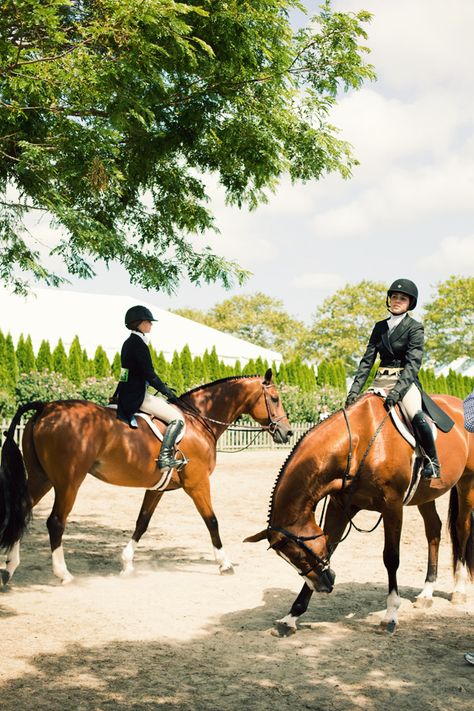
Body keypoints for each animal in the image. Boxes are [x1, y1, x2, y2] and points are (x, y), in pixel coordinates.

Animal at [0, 370, 290, 588]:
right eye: (275, 398)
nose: (286, 432)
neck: (198, 420)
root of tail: (46, 407)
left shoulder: (157, 488)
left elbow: (142, 522)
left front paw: (127, 564)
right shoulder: (197, 484)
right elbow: (212, 522)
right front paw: (225, 564)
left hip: (42, 478)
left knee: (21, 511)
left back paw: (9, 569)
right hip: (68, 481)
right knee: (55, 522)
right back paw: (64, 574)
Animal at [246, 392, 472, 636]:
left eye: (298, 555)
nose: (324, 586)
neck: (356, 444)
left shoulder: (392, 506)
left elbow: (391, 558)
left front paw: (391, 614)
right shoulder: (340, 506)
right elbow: (329, 549)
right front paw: (291, 616)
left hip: (466, 483)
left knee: (461, 528)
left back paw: (459, 590)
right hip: (426, 494)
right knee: (433, 530)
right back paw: (427, 592)